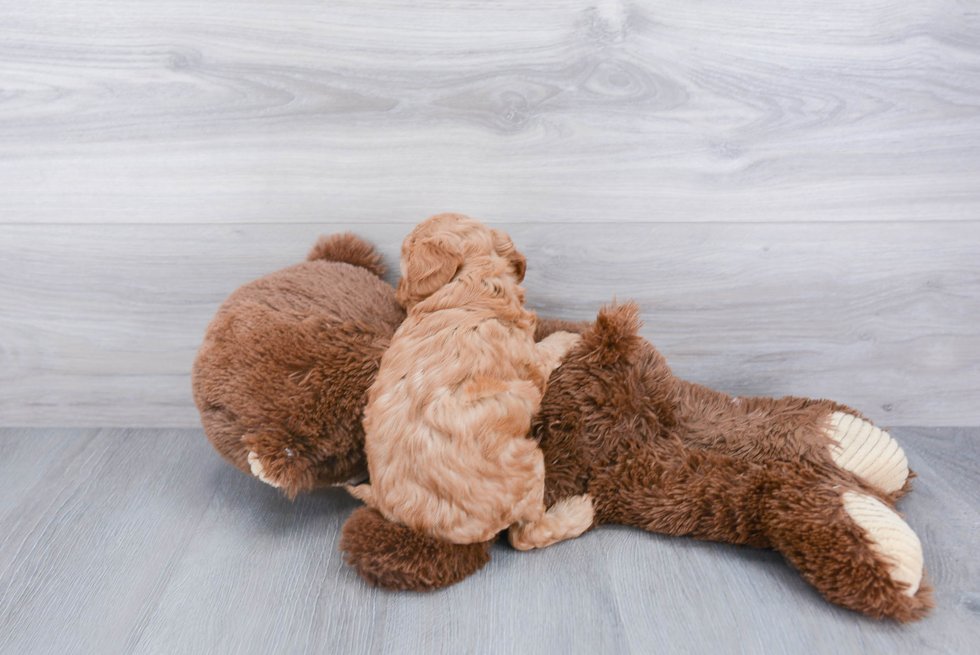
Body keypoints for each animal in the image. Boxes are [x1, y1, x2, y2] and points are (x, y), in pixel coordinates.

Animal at [346, 215, 588, 548]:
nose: (397, 295)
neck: (472, 281)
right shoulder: (531, 362)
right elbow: (546, 350)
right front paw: (568, 336)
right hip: (528, 465)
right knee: (526, 535)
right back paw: (578, 511)